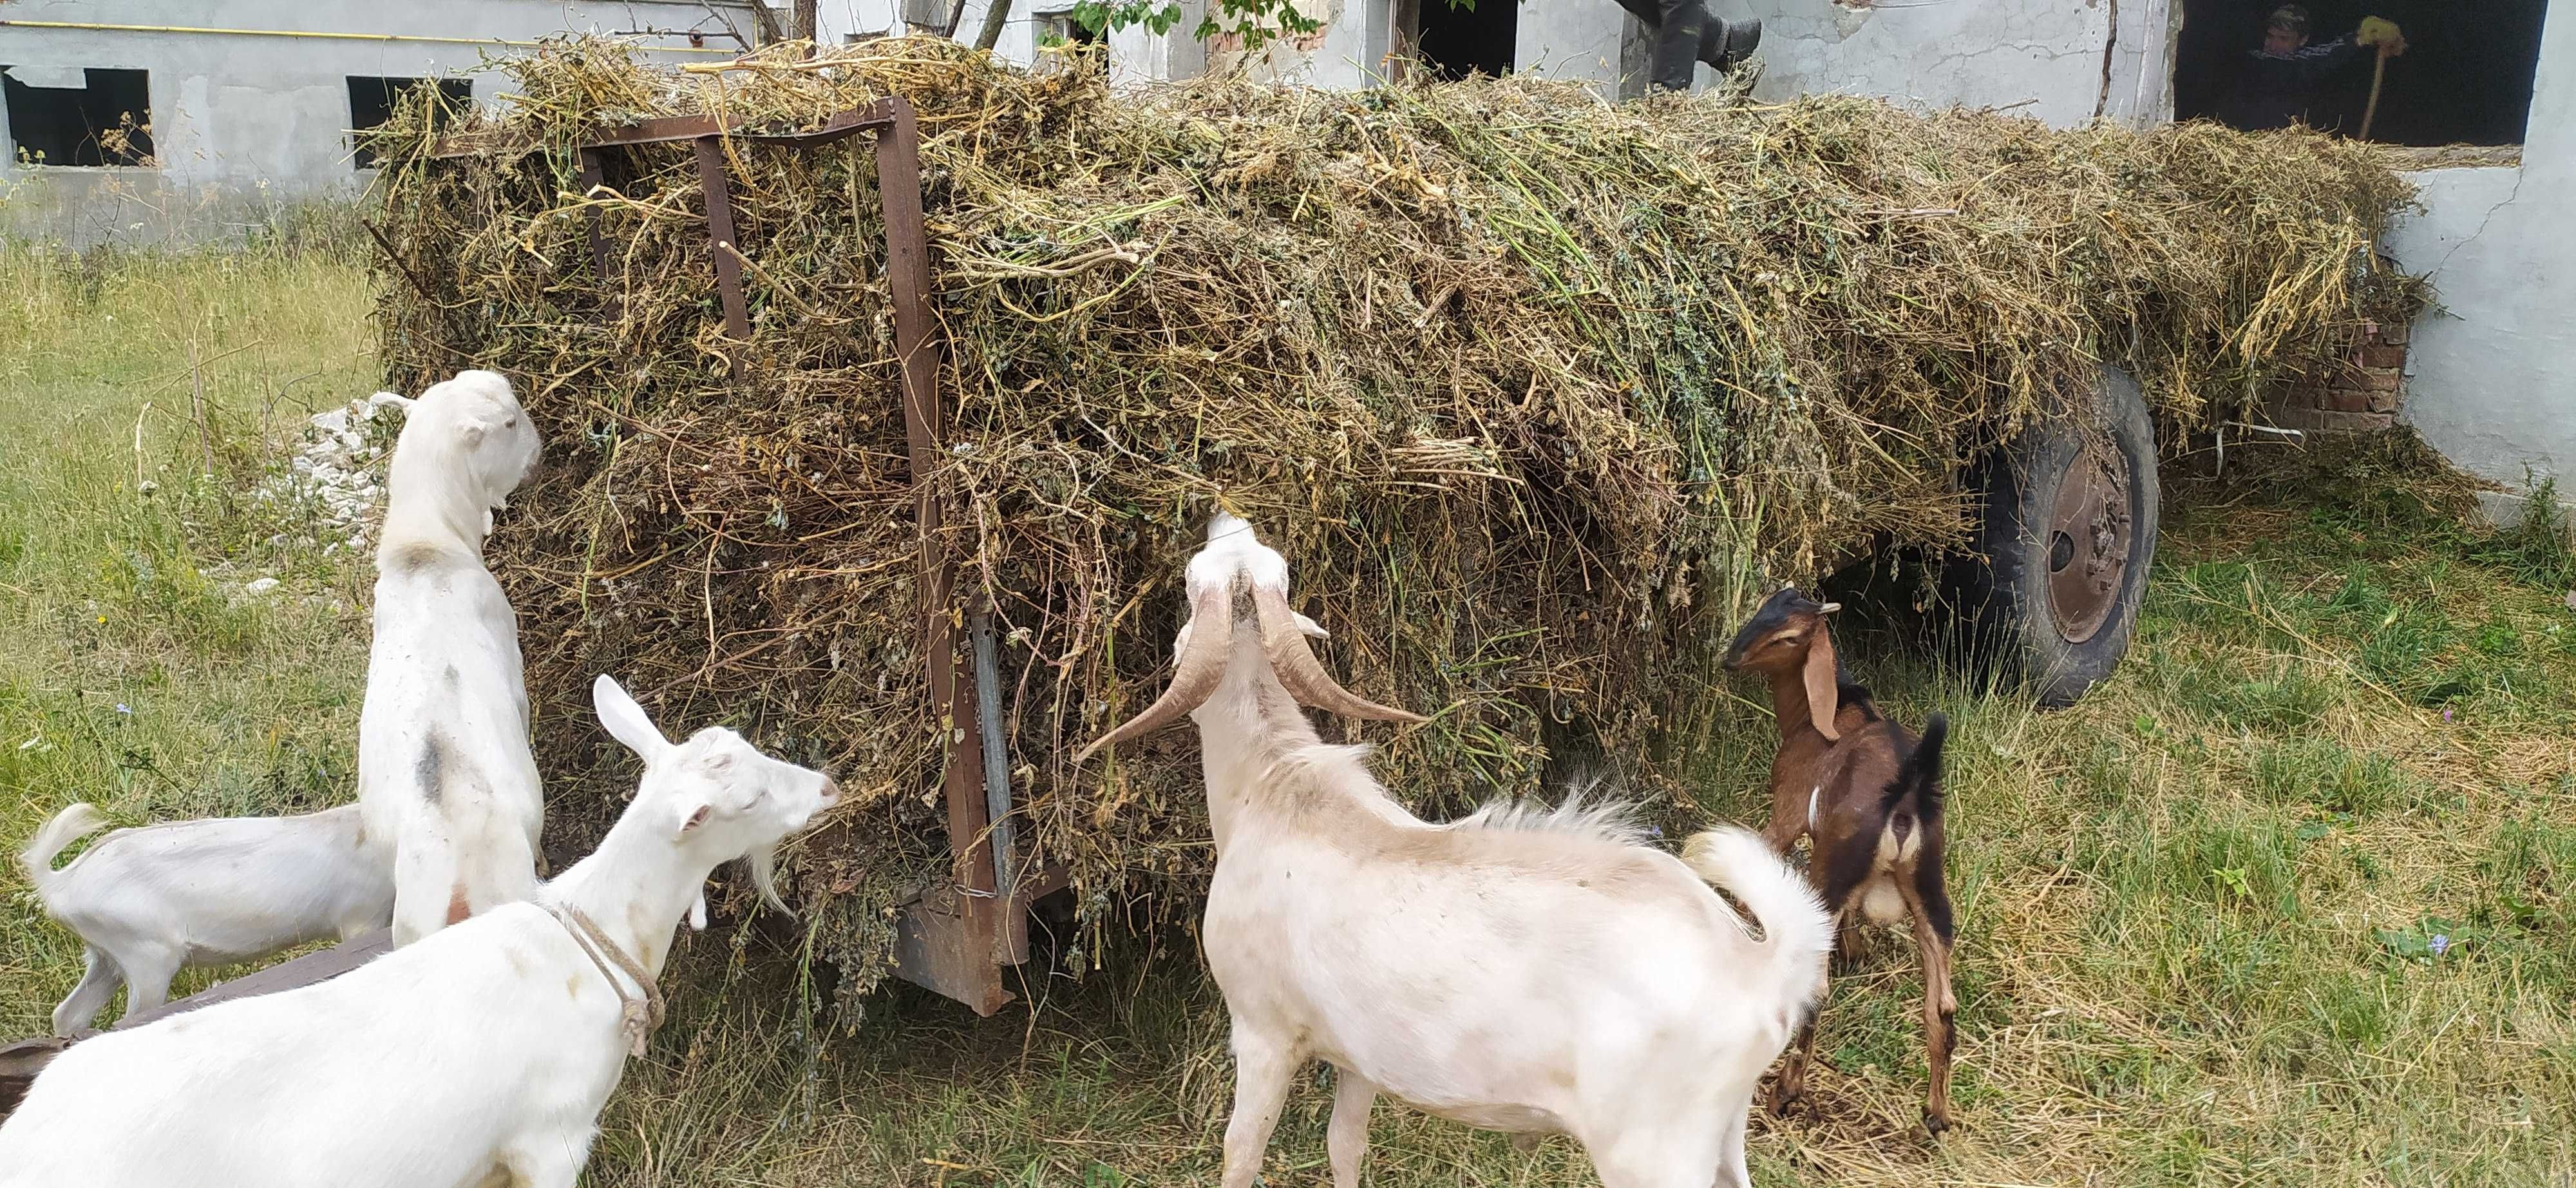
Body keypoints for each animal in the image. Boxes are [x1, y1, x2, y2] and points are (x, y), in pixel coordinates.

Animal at [1077, 515, 1844, 1185]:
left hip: (1654, 1149)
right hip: (1722, 1132)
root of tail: (1759, 965)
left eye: (1191, 577)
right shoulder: (1360, 1053)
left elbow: (1239, 1156)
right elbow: (1344, 1145)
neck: (1276, 786)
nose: (1221, 517)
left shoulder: (1263, 1031)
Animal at [1731, 582, 1947, 1129]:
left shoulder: (1788, 814)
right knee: (1942, 1005)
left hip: (1830, 875)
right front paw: (1856, 951)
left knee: (1817, 990)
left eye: (1789, 637)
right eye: (1761, 607)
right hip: (1929, 886)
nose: (1730, 658)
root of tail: (1906, 798)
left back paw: (1784, 1093)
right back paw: (1936, 1115)